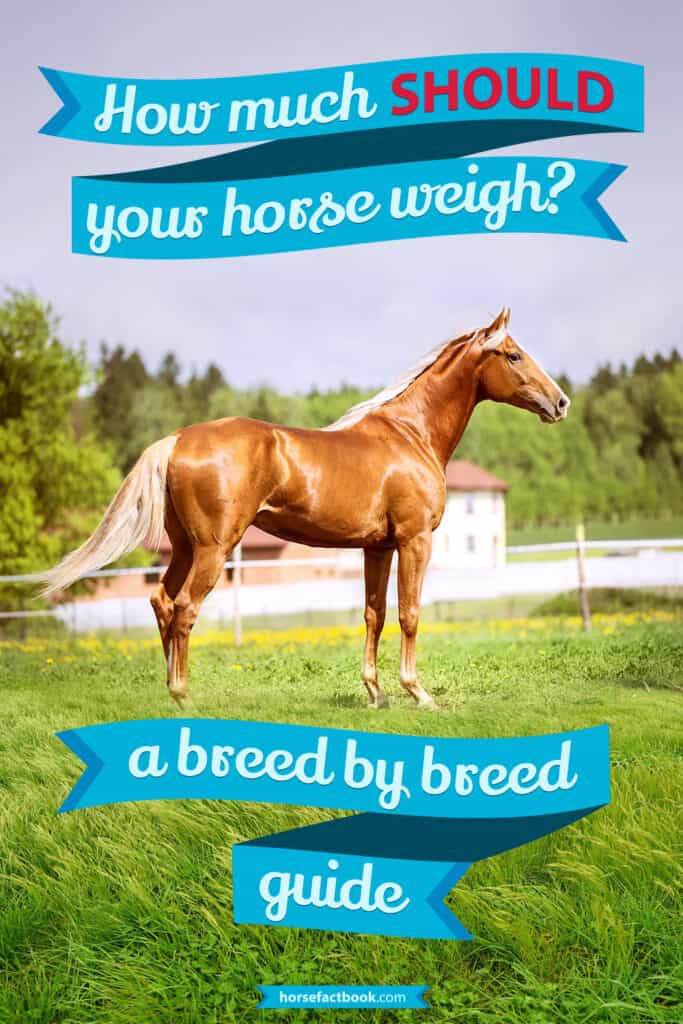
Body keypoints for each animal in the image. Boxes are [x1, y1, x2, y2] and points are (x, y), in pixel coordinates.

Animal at [41, 307, 569, 709]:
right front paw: (418, 693)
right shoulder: (414, 540)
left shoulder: (377, 548)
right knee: (186, 608)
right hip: (214, 548)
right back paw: (183, 695)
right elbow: (410, 613)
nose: (560, 402)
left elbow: (374, 613)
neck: (410, 434)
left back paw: (171, 691)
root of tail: (177, 439)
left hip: (184, 548)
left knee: (162, 601)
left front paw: (376, 694)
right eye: (514, 354)